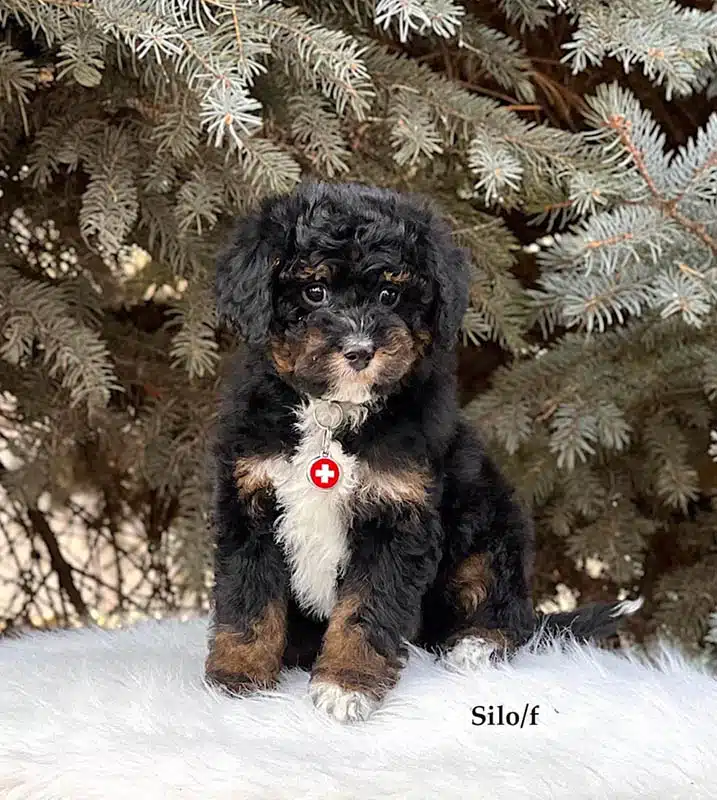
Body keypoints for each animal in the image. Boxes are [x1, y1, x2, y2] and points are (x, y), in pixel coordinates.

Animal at [204, 183, 640, 724]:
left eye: (390, 295)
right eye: (314, 291)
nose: (360, 350)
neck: (333, 413)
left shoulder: (397, 516)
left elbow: (365, 609)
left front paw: (346, 684)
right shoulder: (251, 499)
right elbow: (250, 600)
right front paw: (240, 676)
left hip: (490, 529)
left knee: (506, 610)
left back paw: (476, 645)